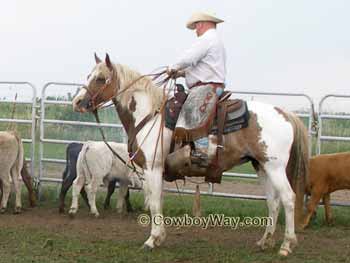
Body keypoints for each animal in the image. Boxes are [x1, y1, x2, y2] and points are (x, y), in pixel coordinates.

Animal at [72, 54, 308, 258]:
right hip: (261, 166)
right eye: (88, 75)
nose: (77, 102)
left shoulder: (152, 168)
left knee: (288, 198)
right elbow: (158, 200)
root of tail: (285, 113)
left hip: (275, 167)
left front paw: (151, 240)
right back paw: (264, 241)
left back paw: (286, 245)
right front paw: (160, 237)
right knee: (273, 202)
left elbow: (154, 203)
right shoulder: (154, 171)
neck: (149, 116)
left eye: (100, 78)